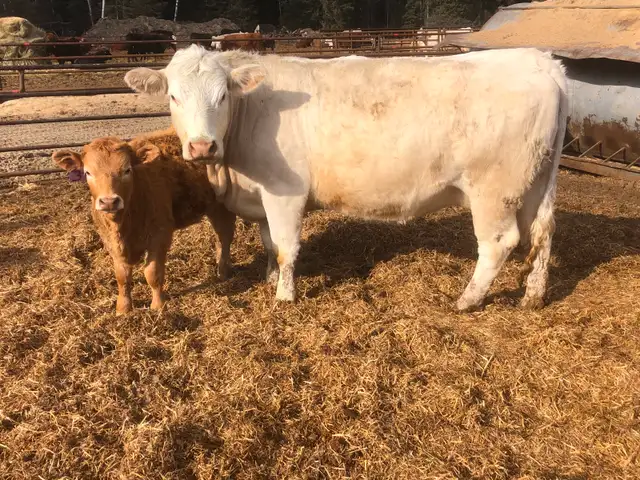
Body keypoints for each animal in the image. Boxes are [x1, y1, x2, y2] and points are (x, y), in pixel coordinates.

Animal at [52, 130, 236, 314]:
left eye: (127, 170)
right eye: (88, 172)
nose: (109, 202)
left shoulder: (160, 235)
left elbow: (152, 273)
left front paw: (158, 306)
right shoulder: (110, 241)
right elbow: (122, 276)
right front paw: (123, 308)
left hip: (223, 206)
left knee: (225, 236)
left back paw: (223, 271)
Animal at [124, 45, 568, 311]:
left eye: (222, 96)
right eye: (173, 96)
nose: (202, 146)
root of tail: (539, 59)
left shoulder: (285, 191)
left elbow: (285, 246)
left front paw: (284, 296)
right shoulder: (263, 194)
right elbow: (269, 243)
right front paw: (270, 279)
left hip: (493, 188)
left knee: (499, 242)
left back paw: (467, 300)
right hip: (535, 182)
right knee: (543, 233)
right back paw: (533, 295)